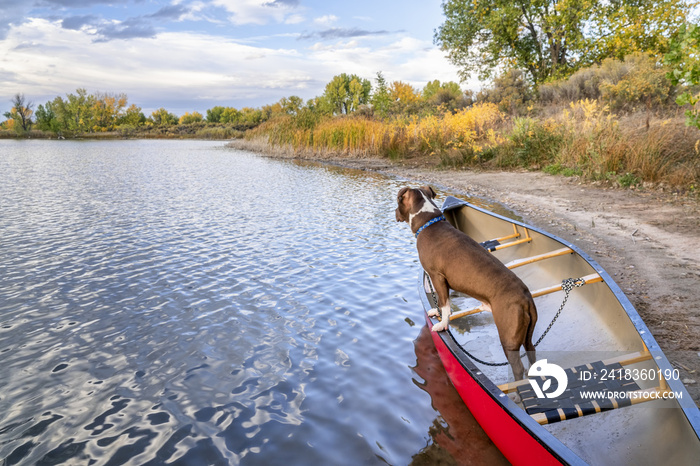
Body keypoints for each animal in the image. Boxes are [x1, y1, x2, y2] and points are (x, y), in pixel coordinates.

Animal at [396, 186, 540, 382]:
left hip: (508, 338)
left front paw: (442, 324)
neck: (429, 222)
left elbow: (445, 304)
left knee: (518, 368)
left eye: (398, 201)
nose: (394, 212)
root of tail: (526, 297)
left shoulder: (437, 277)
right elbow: (442, 302)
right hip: (527, 336)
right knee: (532, 354)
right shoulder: (438, 281)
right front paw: (436, 312)